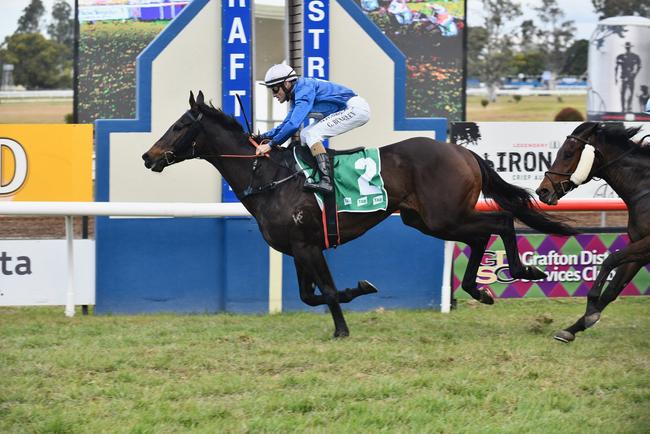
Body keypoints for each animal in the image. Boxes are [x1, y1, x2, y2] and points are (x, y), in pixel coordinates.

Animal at [143, 90, 576, 336]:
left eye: (180, 125)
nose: (148, 157)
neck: (270, 177)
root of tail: (463, 151)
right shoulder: (299, 247)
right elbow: (309, 296)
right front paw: (352, 302)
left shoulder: (309, 246)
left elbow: (329, 291)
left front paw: (344, 324)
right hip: (427, 220)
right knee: (480, 234)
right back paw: (479, 290)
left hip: (444, 215)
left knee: (499, 222)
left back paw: (521, 271)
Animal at [536, 122, 644, 342]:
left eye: (568, 153)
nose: (542, 191)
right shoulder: (639, 246)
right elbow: (613, 290)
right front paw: (573, 328)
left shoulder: (647, 244)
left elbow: (610, 259)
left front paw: (591, 310)